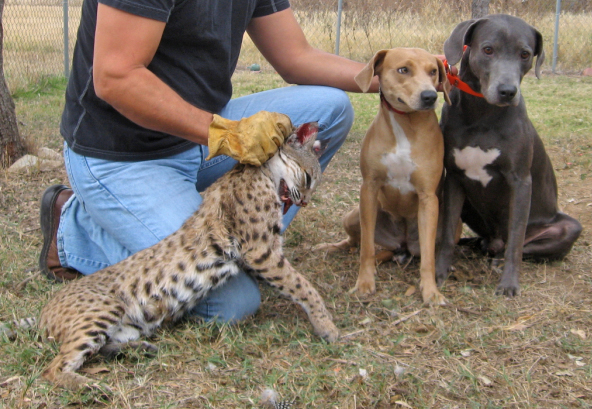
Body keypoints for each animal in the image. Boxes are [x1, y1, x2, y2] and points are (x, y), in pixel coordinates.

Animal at [316, 47, 450, 302]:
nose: (430, 96)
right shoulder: (369, 189)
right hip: (352, 216)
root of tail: (402, 244)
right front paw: (364, 282)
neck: (405, 124)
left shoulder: (428, 198)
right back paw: (334, 247)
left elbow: (428, 256)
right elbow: (367, 247)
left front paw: (430, 290)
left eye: (433, 71)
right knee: (356, 243)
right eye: (403, 69)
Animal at [434, 14, 584, 294]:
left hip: (569, 227)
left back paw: (498, 259)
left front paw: (509, 284)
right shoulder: (455, 179)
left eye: (525, 54)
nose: (507, 91)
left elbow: (515, 240)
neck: (482, 113)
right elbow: (447, 232)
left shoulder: (520, 182)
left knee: (518, 246)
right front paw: (439, 272)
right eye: (487, 49)